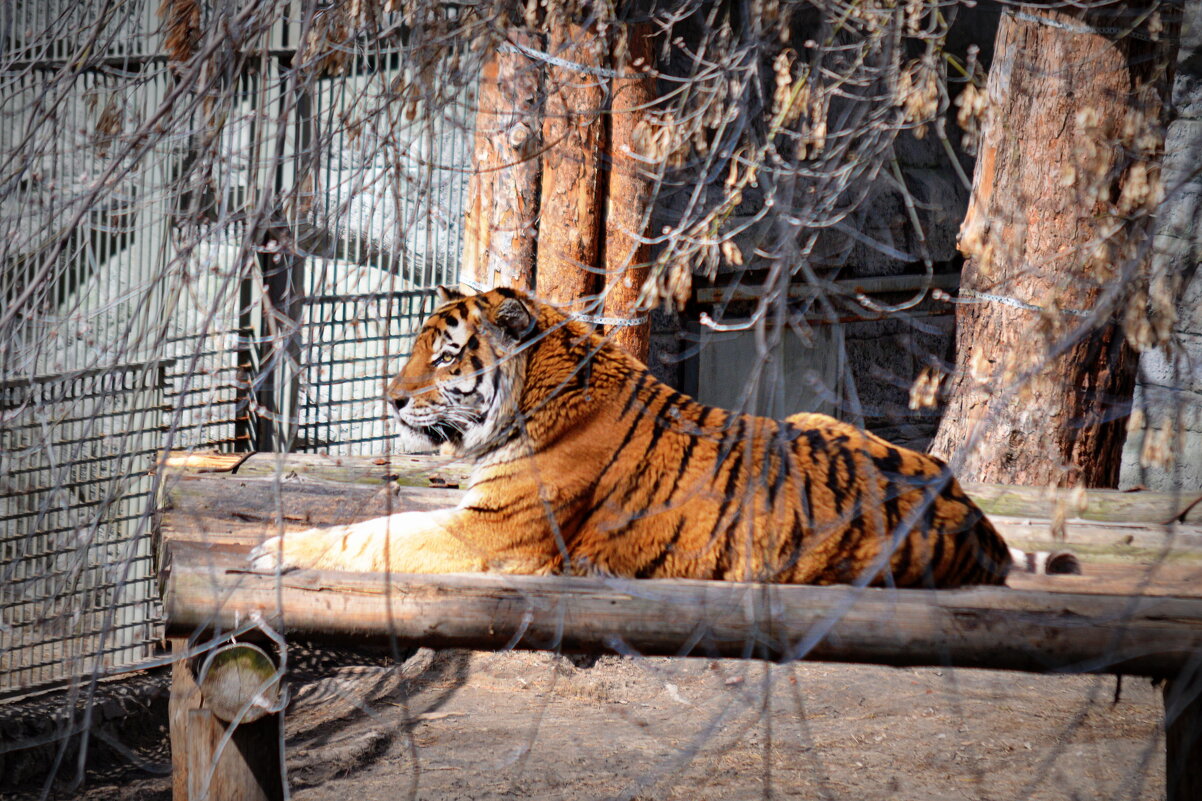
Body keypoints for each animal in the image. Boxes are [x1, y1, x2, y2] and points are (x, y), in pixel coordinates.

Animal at [251, 283, 1014, 584]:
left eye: (443, 355)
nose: (390, 400)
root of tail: (980, 525)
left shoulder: (489, 533)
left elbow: (373, 536)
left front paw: (274, 550)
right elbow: (381, 521)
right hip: (812, 419)